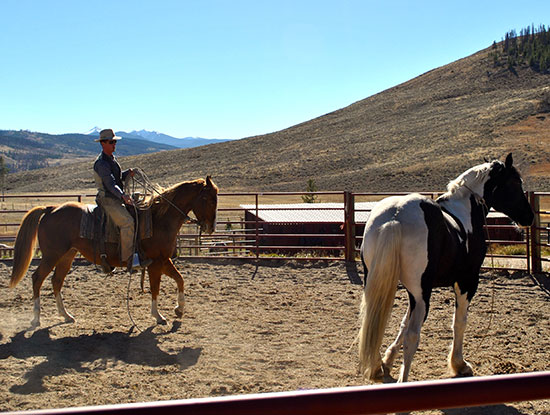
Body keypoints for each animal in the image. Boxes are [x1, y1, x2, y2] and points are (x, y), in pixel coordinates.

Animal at [9, 176, 219, 328]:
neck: (159, 219)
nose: (210, 227)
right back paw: (36, 318)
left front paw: (179, 308)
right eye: (208, 199)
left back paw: (66, 315)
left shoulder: (164, 260)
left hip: (67, 255)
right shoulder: (155, 263)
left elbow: (180, 279)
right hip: (52, 255)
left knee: (56, 281)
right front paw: (158, 316)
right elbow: (156, 289)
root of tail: (50, 208)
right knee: (37, 278)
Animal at [358, 154, 536, 384]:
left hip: (383, 285)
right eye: (515, 183)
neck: (465, 210)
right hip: (422, 294)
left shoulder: (413, 292)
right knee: (413, 335)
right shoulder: (467, 282)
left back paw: (378, 366)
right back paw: (403, 379)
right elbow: (459, 322)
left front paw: (388, 361)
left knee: (375, 322)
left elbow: (403, 323)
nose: (529, 217)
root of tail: (395, 217)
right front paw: (459, 364)